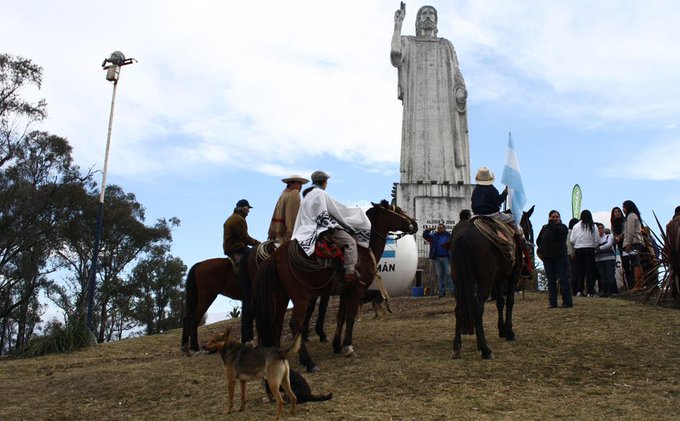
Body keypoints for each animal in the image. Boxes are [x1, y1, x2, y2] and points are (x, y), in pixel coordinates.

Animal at [252, 201, 418, 372]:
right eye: (398, 210)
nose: (415, 223)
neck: (364, 249)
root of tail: (274, 256)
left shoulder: (345, 291)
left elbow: (341, 317)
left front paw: (337, 346)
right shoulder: (356, 291)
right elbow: (350, 317)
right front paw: (348, 346)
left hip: (281, 296)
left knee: (277, 323)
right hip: (300, 297)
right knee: (294, 324)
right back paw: (308, 362)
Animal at [451, 213, 533, 360]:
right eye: (529, 227)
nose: (530, 245)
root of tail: (464, 236)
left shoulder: (498, 279)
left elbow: (500, 302)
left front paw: (502, 330)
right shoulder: (514, 276)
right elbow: (510, 301)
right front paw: (509, 332)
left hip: (458, 282)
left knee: (459, 308)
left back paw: (457, 347)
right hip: (485, 282)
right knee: (477, 307)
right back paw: (485, 349)